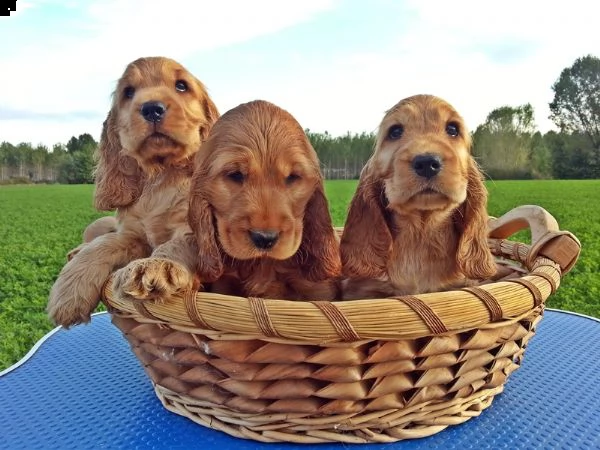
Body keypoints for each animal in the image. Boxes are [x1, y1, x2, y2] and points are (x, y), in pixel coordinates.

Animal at [47, 56, 219, 326]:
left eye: (181, 86)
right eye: (128, 92)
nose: (152, 109)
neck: (162, 175)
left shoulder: (197, 227)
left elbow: (180, 242)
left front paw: (157, 267)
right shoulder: (132, 234)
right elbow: (104, 244)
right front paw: (68, 293)